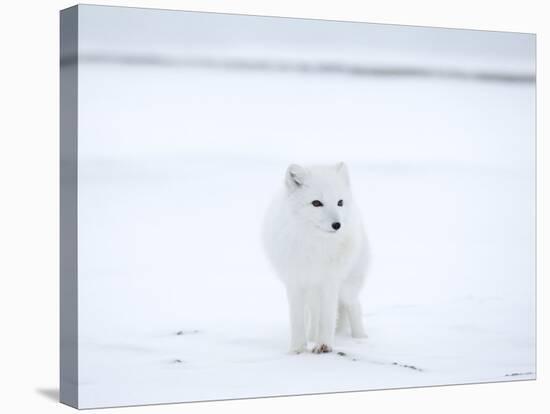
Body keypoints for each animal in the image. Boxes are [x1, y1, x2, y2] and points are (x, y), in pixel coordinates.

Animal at [264, 163, 368, 354]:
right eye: (316, 203)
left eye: (340, 202)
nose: (337, 225)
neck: (316, 245)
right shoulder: (295, 281)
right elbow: (297, 319)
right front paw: (297, 349)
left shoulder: (330, 281)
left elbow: (327, 317)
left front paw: (324, 345)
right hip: (312, 292)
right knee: (313, 314)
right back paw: (311, 336)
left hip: (347, 287)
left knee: (354, 305)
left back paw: (360, 338)